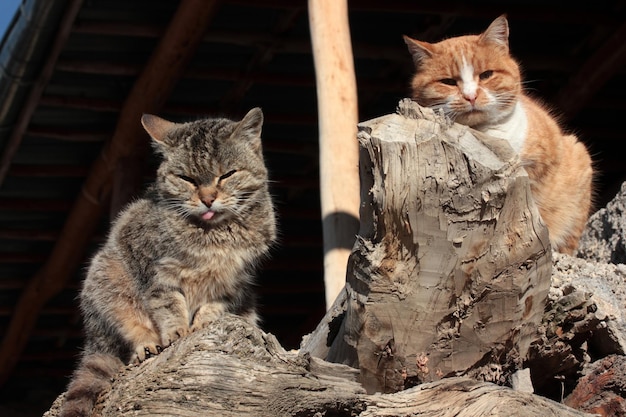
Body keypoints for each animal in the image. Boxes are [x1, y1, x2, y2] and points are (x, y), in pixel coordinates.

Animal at [59, 108, 274, 416]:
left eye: (227, 174)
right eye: (187, 178)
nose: (208, 199)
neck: (215, 234)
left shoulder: (234, 282)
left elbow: (213, 306)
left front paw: (202, 323)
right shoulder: (158, 274)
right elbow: (169, 306)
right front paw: (177, 331)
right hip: (106, 280)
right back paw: (145, 346)